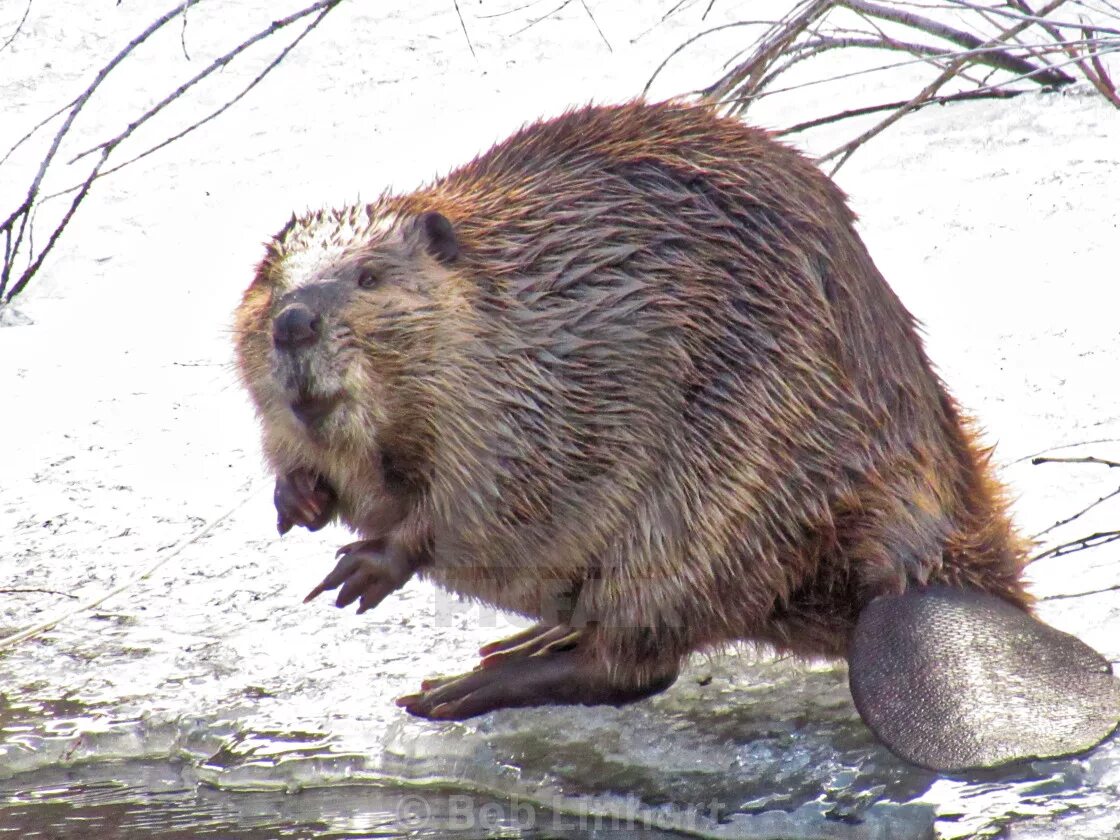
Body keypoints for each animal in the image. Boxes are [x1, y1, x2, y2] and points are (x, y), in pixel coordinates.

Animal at [231, 101, 1115, 775]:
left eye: (370, 278)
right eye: (269, 280)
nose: (294, 322)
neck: (517, 301)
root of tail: (926, 584)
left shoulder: (543, 384)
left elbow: (485, 494)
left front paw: (364, 568)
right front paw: (296, 498)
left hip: (717, 493)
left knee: (637, 664)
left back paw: (458, 688)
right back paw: (520, 640)